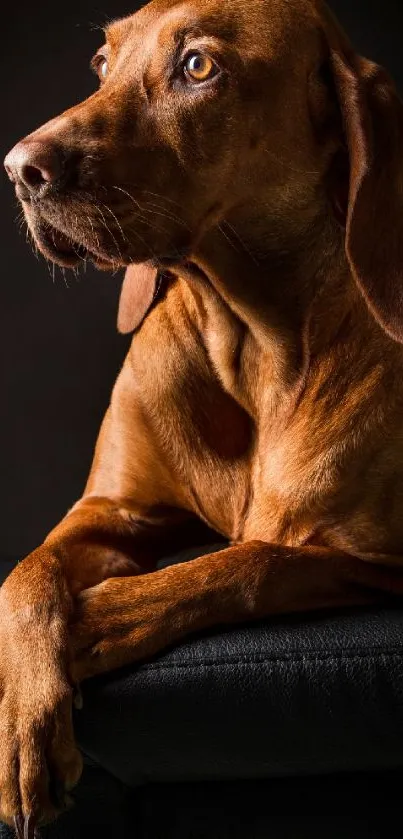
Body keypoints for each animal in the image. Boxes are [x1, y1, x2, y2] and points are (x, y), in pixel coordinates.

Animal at [2, 0, 403, 832]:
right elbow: (24, 577)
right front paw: (25, 722)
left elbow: (249, 561)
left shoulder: (376, 561)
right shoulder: (108, 512)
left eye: (197, 66)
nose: (19, 170)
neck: (250, 338)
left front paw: (103, 618)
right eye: (101, 64)